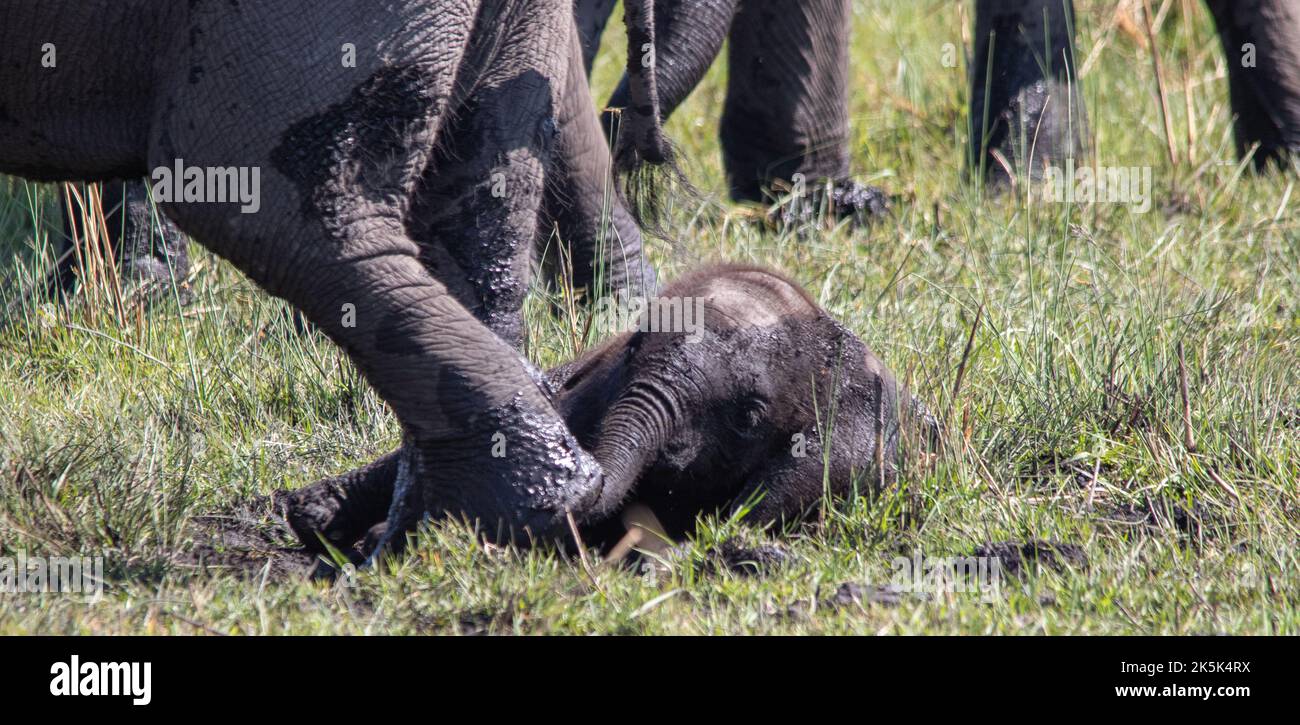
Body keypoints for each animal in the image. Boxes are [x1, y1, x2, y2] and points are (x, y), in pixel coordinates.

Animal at [282, 267, 925, 556]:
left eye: (748, 414)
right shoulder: (596, 390)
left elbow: (789, 486)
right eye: (634, 348)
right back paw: (315, 515)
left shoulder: (850, 436)